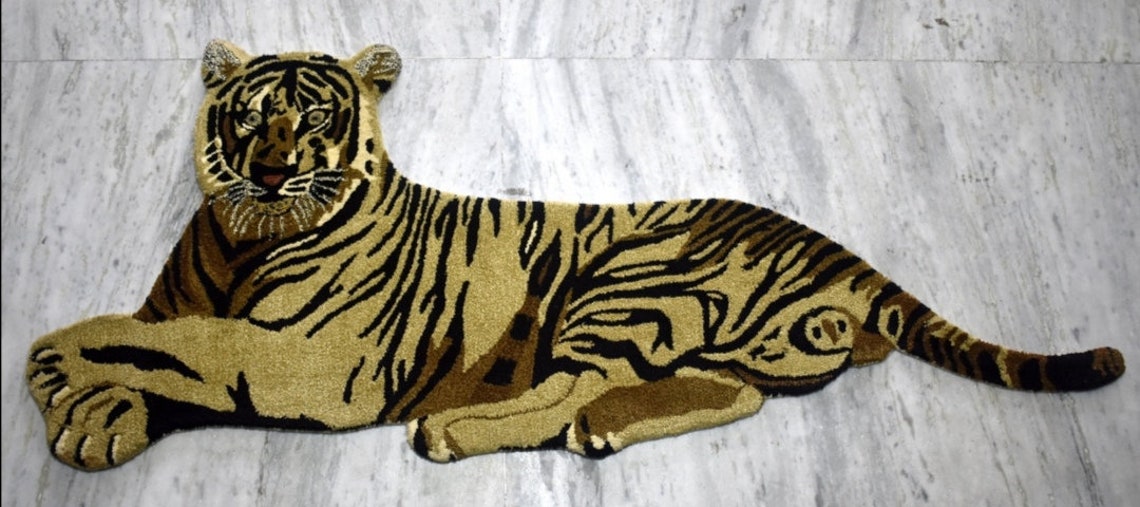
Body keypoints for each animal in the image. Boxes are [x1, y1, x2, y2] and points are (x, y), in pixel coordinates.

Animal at [26, 40, 1125, 471]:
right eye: (252, 113)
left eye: (316, 117)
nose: (267, 169)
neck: (240, 236)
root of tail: (827, 243)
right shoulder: (208, 318)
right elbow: (160, 353)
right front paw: (94, 419)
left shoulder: (318, 361)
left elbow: (172, 348)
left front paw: (65, 371)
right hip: (704, 336)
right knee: (736, 393)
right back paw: (606, 427)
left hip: (624, 280)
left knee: (569, 386)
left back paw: (464, 429)